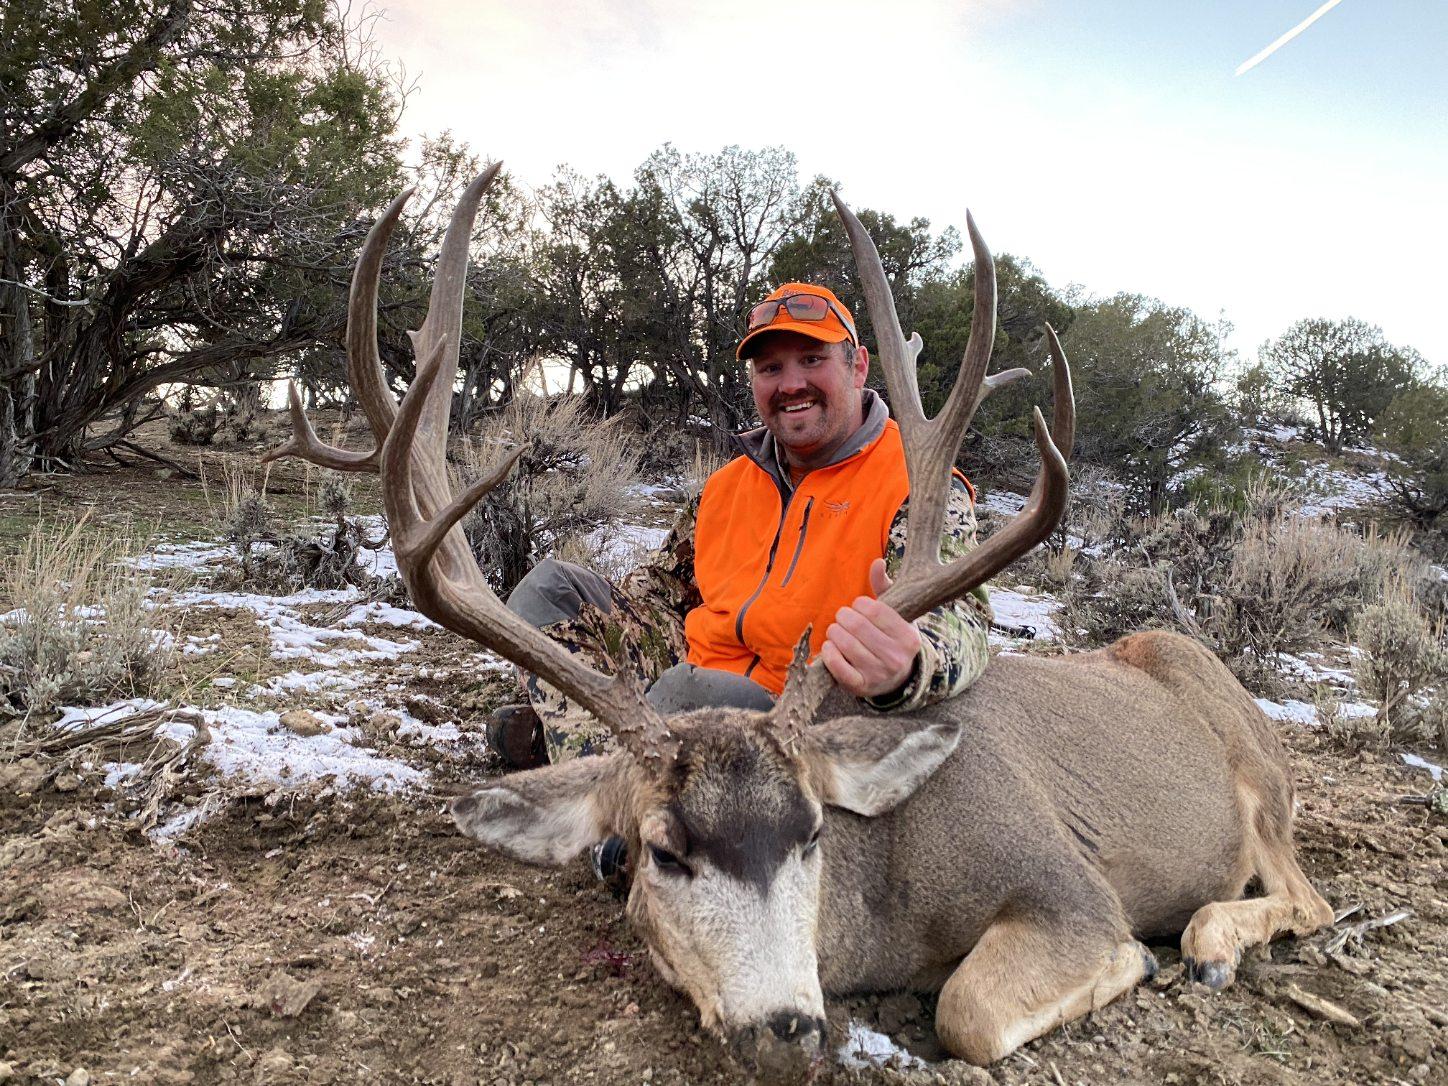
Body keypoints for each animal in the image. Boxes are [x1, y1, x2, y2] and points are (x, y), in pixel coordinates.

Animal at [265, 163, 1334, 1079]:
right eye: (663, 850)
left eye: (814, 832)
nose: (785, 1029)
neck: (889, 891)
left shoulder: (1068, 885)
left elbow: (968, 1011)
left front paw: (1139, 963)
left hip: (1257, 770)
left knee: (1306, 893)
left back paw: (1206, 942)